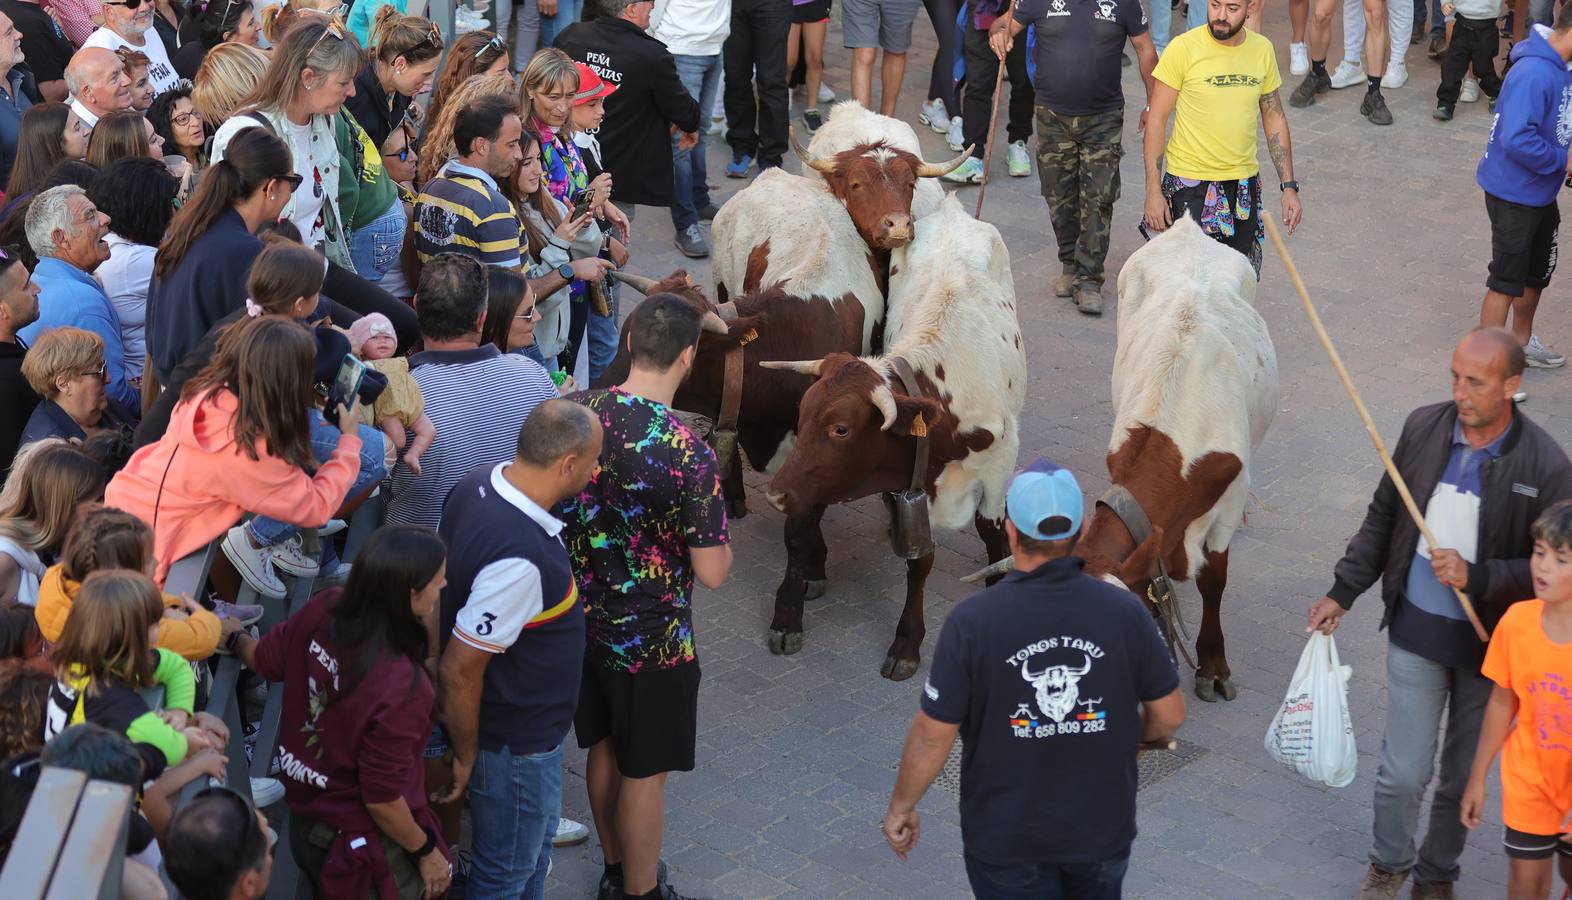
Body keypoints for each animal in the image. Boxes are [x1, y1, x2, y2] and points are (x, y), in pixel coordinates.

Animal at [763, 194, 1031, 672]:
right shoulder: (907, 482)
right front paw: (907, 641)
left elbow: (992, 533)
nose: (777, 495)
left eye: (841, 428)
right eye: (803, 412)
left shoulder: (1000, 463)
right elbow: (919, 561)